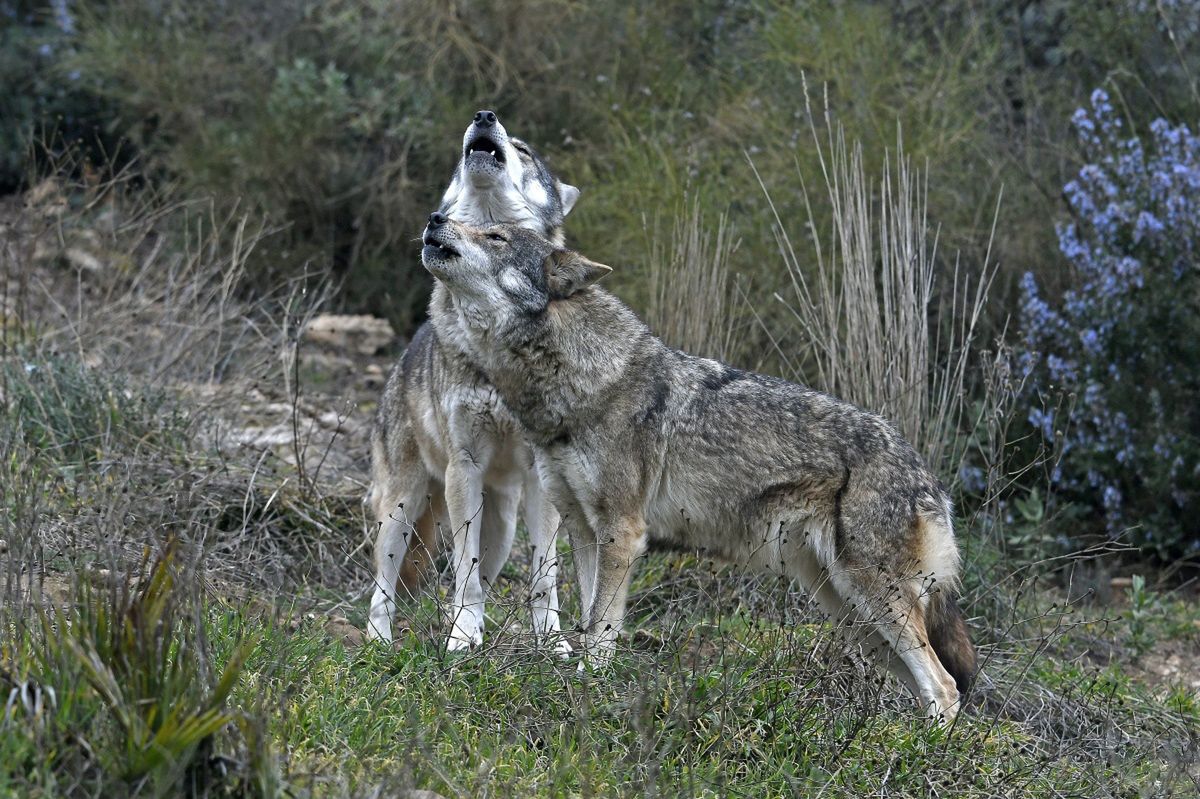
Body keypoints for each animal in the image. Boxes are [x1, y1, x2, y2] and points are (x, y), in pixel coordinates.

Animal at [369, 109, 580, 652]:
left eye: (524, 150)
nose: (484, 116)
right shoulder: (463, 466)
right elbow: (462, 572)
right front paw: (463, 638)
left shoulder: (541, 476)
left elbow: (545, 575)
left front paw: (551, 643)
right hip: (403, 506)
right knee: (383, 583)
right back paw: (379, 641)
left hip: (501, 527)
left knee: (480, 573)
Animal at [412, 214, 974, 719]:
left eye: (495, 235)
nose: (435, 218)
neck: (577, 381)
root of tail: (928, 476)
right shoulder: (584, 530)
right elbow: (591, 617)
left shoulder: (623, 532)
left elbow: (601, 627)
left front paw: (589, 687)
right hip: (849, 610)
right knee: (928, 686)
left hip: (871, 597)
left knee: (944, 686)